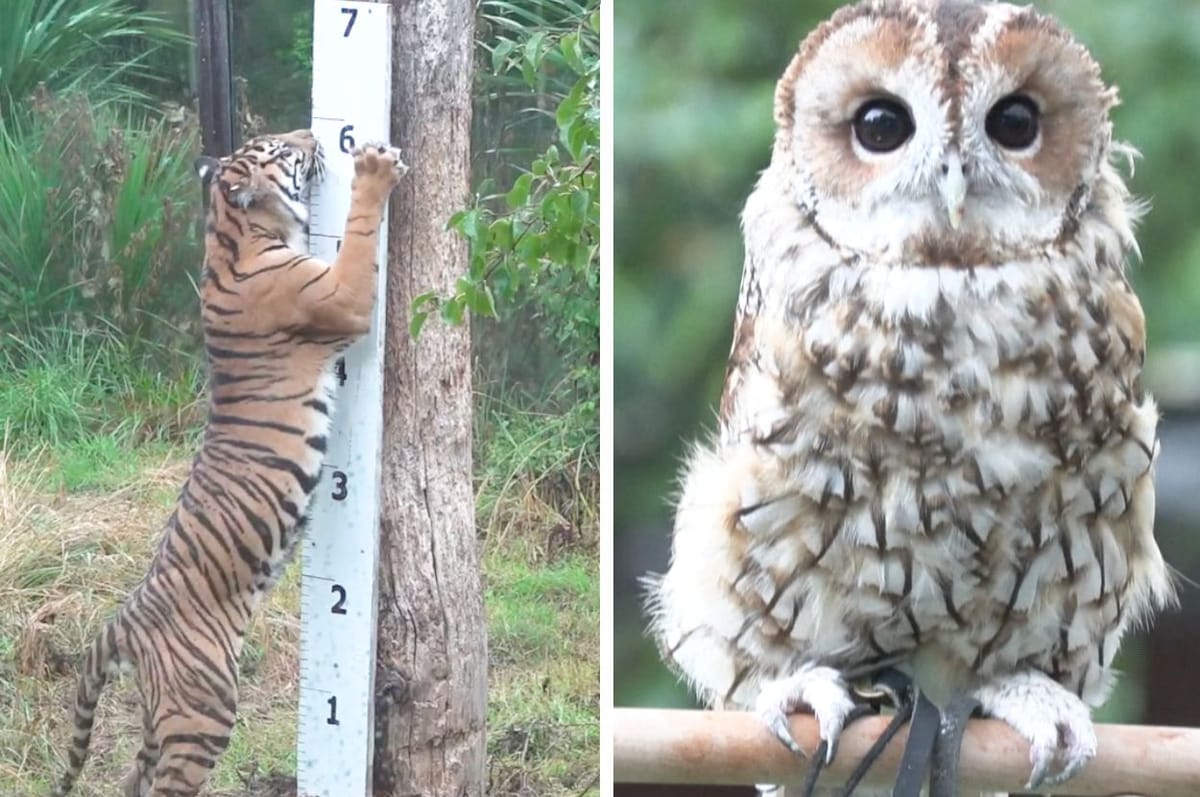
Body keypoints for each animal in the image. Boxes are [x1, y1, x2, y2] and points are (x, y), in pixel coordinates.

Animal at [52, 130, 408, 797]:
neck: (228, 231)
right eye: (281, 150)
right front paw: (373, 169)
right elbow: (359, 231)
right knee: (165, 784)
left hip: (161, 717)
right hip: (205, 709)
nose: (311, 136)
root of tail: (121, 623)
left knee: (133, 778)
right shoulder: (342, 296)